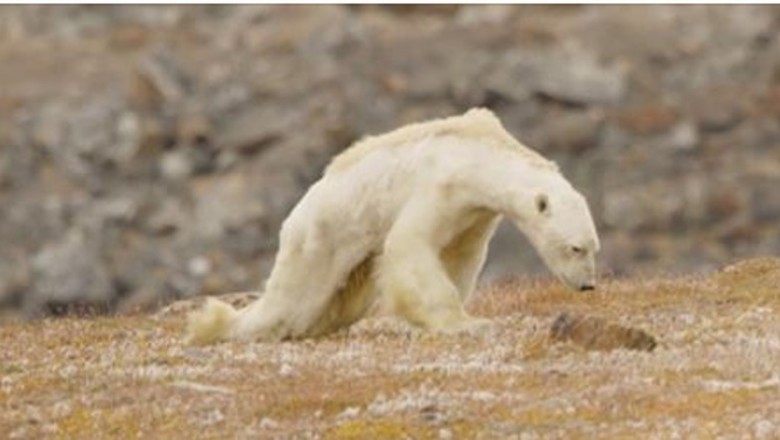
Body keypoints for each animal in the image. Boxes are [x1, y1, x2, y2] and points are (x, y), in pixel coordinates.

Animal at [186, 107, 600, 344]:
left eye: (593, 247)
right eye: (575, 247)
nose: (588, 285)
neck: (480, 152)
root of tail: (294, 217)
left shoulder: (475, 213)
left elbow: (460, 256)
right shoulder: (440, 185)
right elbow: (409, 244)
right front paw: (464, 324)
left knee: (338, 304)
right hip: (320, 237)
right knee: (292, 302)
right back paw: (216, 326)